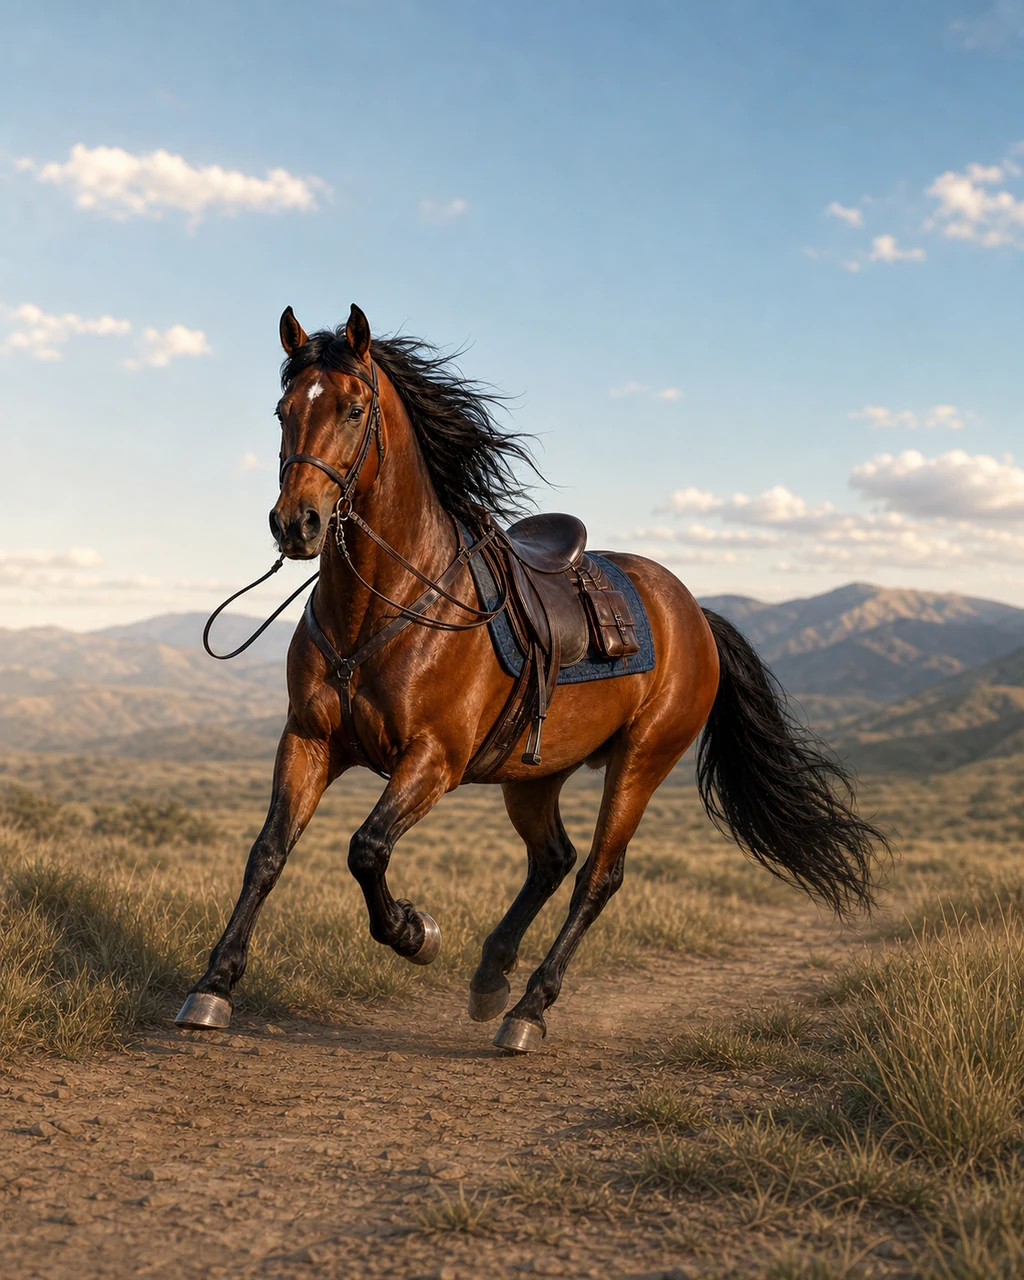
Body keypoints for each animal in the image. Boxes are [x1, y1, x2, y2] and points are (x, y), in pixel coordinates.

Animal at [175, 304, 888, 1054]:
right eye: (283, 410)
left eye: (353, 408)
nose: (297, 523)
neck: (387, 603)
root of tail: (694, 613)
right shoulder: (309, 740)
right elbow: (268, 853)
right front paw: (213, 985)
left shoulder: (434, 760)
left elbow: (366, 849)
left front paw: (415, 933)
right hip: (535, 774)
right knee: (553, 858)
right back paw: (492, 975)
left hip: (642, 760)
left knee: (597, 876)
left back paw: (527, 1009)